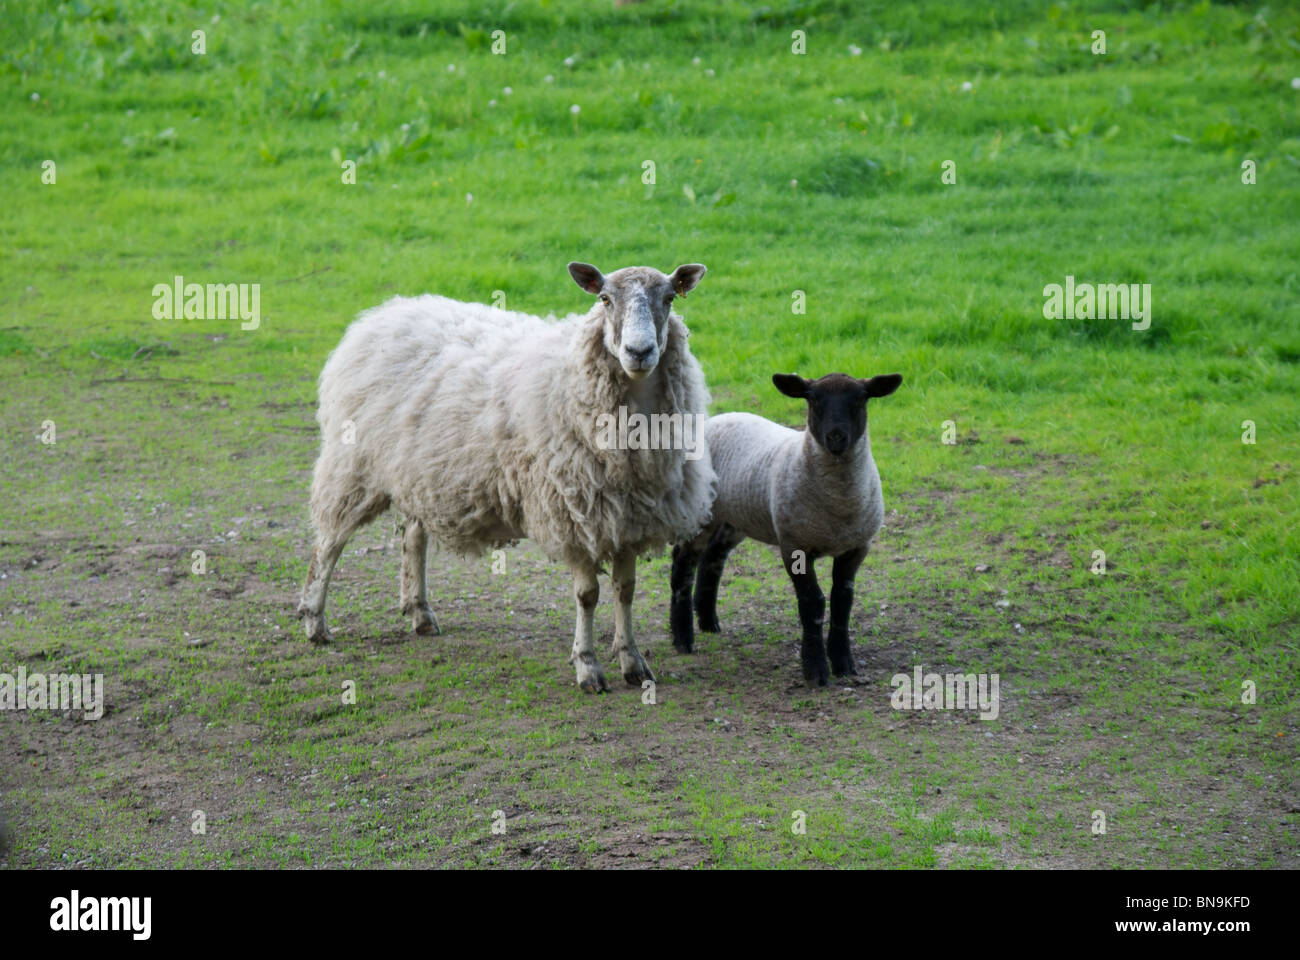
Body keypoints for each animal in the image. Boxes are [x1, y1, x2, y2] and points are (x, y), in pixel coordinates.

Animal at [670, 369, 904, 686]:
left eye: (860, 399)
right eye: (813, 400)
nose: (836, 437)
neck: (838, 504)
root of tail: (715, 419)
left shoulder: (856, 547)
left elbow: (842, 601)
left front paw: (843, 663)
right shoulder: (794, 546)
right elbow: (812, 603)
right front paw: (815, 668)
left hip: (734, 518)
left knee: (713, 558)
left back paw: (708, 622)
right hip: (699, 513)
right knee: (683, 565)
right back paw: (683, 638)